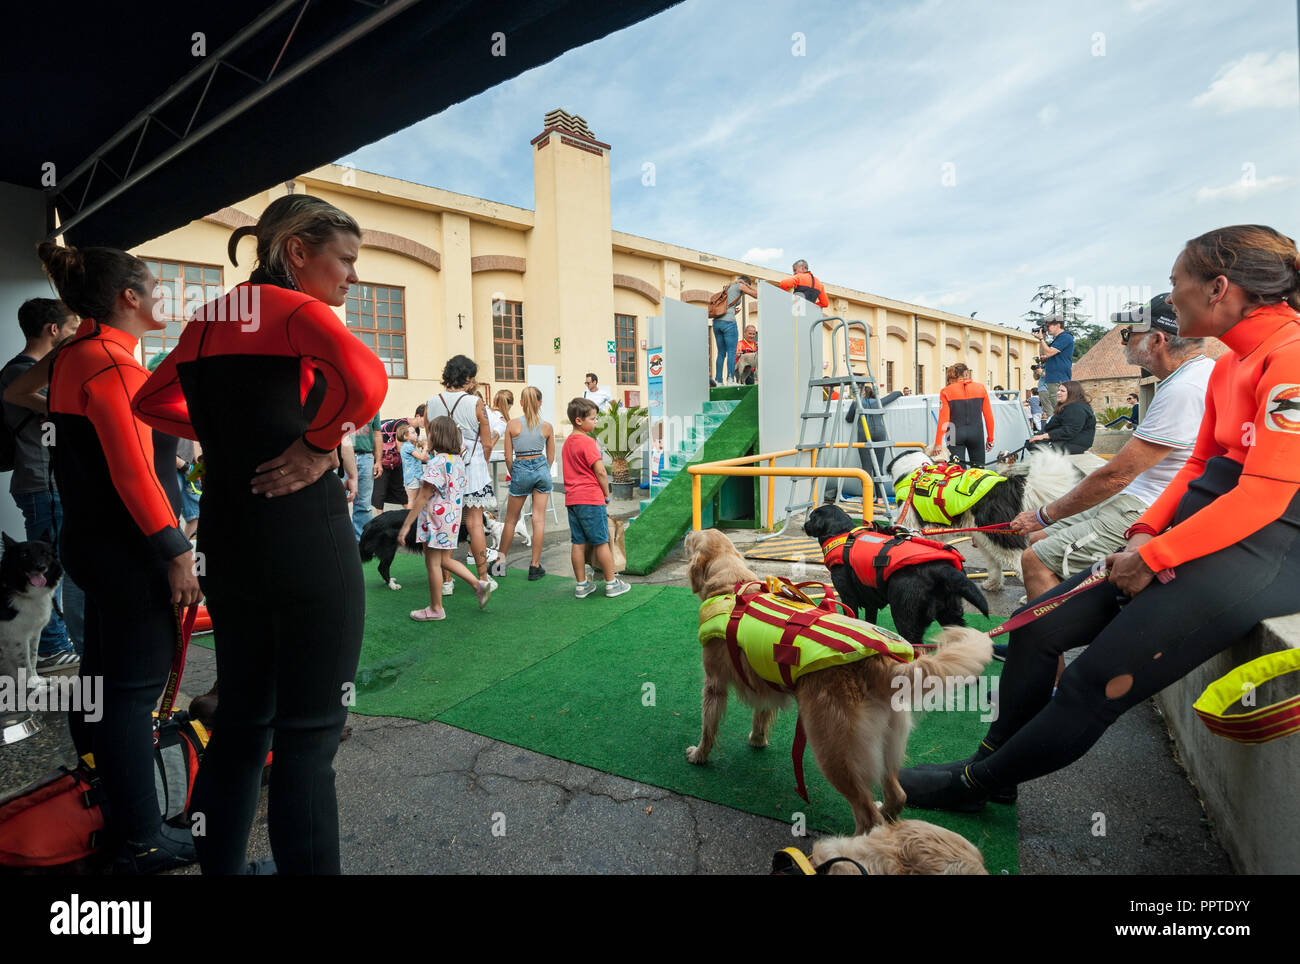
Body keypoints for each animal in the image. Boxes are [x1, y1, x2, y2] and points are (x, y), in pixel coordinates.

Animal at [800, 506, 982, 649]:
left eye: (811, 517)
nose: (804, 525)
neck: (842, 535)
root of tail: (941, 568)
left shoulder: (847, 596)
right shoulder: (870, 601)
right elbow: (870, 622)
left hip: (904, 614)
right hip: (950, 615)